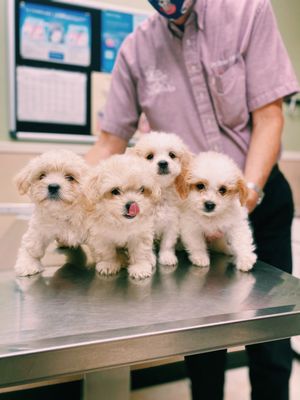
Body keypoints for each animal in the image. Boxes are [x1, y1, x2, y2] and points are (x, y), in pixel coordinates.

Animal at [14, 148, 89, 276]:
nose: (53, 186)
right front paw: (28, 264)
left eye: (70, 177)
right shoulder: (38, 229)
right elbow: (31, 246)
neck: (63, 212)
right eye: (42, 175)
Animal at [130, 133, 191, 268]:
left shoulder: (172, 223)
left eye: (172, 155)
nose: (163, 163)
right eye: (149, 156)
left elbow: (168, 243)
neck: (160, 192)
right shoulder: (146, 226)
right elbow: (147, 245)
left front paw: (167, 257)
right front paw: (149, 259)